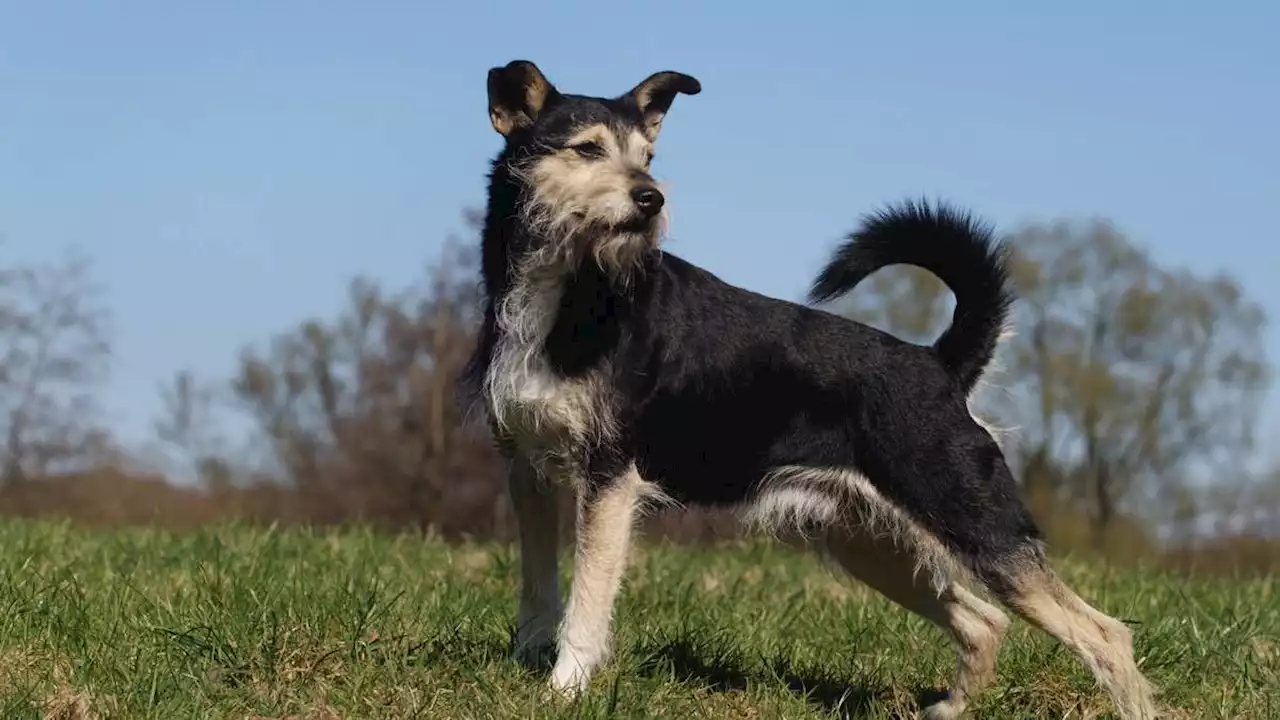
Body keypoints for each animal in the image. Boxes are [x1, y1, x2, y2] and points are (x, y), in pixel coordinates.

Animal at [463, 60, 1162, 717]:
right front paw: (528, 666)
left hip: (981, 528)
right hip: (871, 542)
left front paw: (564, 688)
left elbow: (586, 598)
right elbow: (537, 588)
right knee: (984, 621)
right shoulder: (527, 470)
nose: (651, 198)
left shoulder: (609, 478)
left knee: (1106, 635)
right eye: (586, 150)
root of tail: (939, 364)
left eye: (649, 158)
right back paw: (947, 708)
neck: (568, 291)